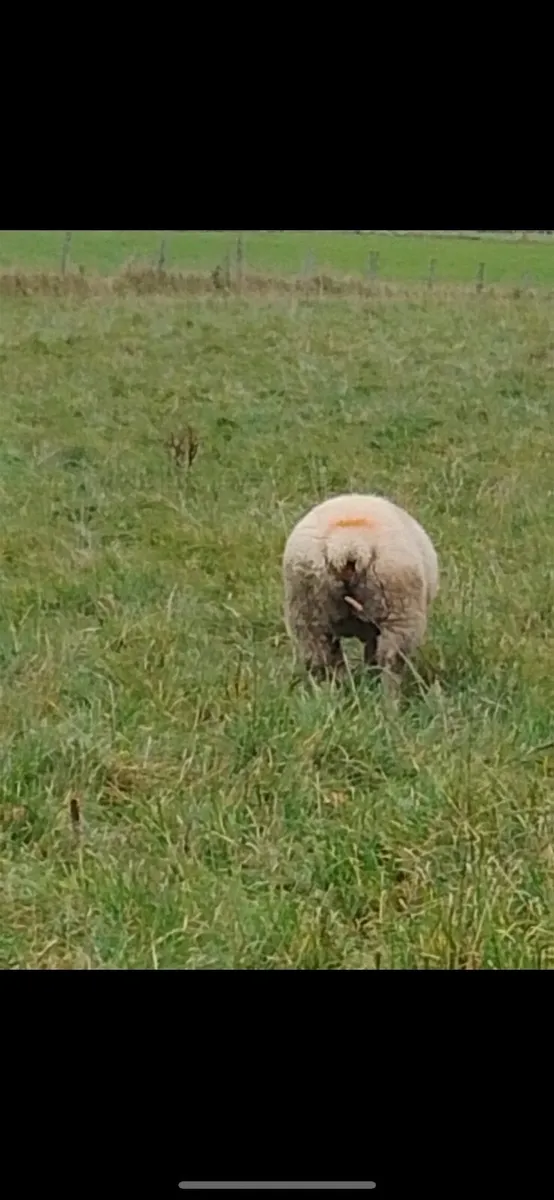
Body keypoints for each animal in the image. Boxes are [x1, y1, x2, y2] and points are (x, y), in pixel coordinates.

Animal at [282, 493, 439, 701]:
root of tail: (348, 545)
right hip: (400, 614)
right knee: (390, 662)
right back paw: (389, 703)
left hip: (308, 612)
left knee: (322, 661)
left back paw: (331, 696)